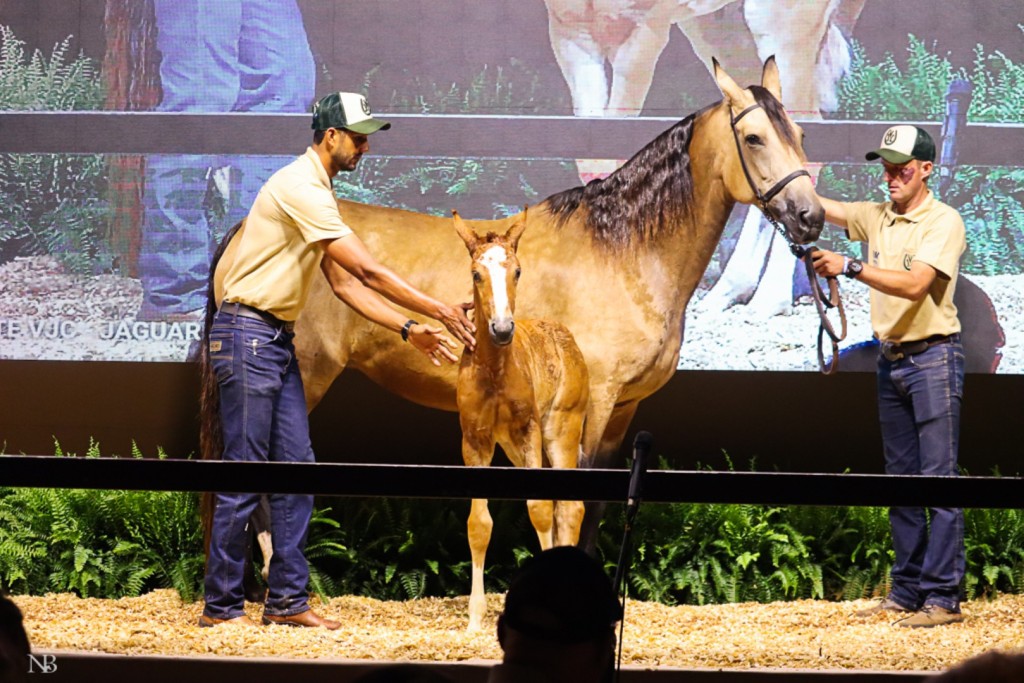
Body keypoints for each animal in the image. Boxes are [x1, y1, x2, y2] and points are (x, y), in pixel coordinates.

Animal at [201, 57, 824, 558]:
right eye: (754, 137)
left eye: (797, 131)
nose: (810, 216)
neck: (624, 251)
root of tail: (245, 230)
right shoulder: (592, 403)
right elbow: (571, 506)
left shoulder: (623, 411)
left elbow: (594, 510)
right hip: (303, 375)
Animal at [451, 208, 589, 630]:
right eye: (476, 274)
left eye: (517, 271)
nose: (501, 328)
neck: (495, 370)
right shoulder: (474, 438)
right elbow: (479, 525)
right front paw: (474, 619)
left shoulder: (528, 430)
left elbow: (539, 509)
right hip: (512, 447)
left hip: (561, 429)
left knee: (571, 508)